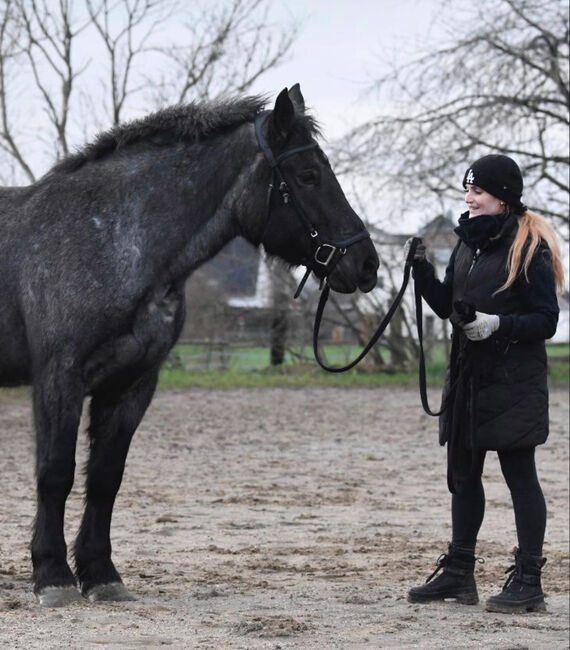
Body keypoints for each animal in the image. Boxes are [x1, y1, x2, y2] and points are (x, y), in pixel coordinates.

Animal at [0, 84, 379, 607]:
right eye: (307, 175)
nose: (366, 263)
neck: (107, 239)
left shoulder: (133, 383)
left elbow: (105, 478)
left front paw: (101, 575)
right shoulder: (60, 378)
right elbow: (55, 472)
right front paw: (53, 576)